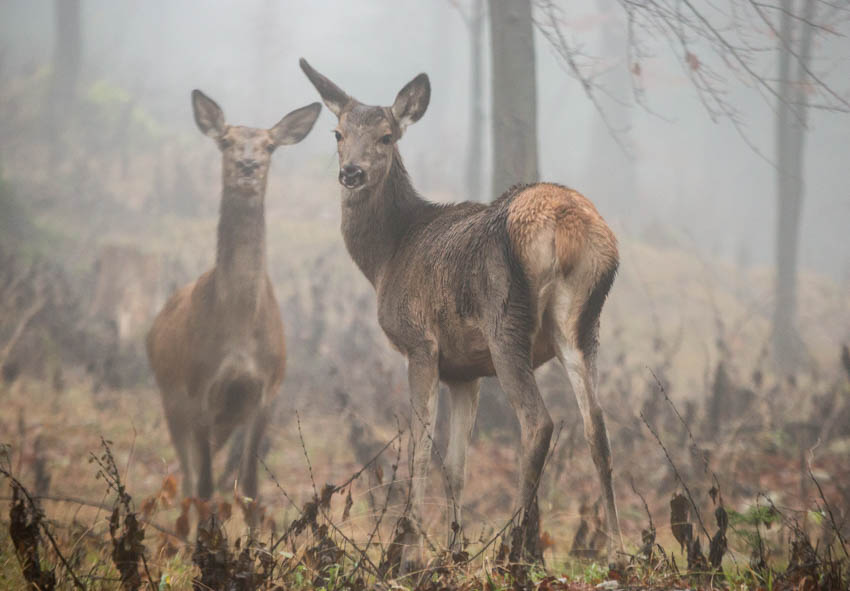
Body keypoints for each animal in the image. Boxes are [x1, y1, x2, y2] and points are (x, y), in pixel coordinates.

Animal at [144, 89, 320, 520]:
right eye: (225, 140)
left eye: (270, 145)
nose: (248, 165)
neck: (239, 329)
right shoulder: (198, 390)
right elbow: (206, 488)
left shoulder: (266, 392)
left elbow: (251, 491)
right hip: (170, 398)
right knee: (188, 479)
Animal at [298, 57, 624, 572]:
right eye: (337, 132)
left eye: (387, 136)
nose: (351, 172)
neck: (387, 256)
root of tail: (565, 224)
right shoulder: (464, 371)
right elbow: (455, 466)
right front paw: (453, 550)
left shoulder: (420, 343)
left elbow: (418, 449)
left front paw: (406, 553)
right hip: (585, 323)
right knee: (598, 429)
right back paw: (617, 553)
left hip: (505, 318)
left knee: (539, 424)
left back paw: (515, 551)